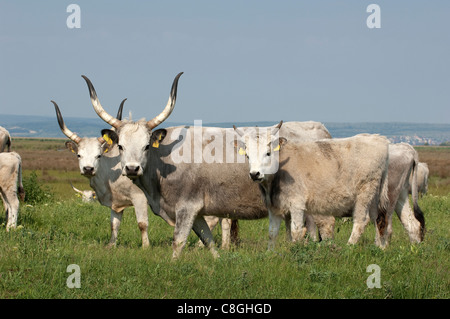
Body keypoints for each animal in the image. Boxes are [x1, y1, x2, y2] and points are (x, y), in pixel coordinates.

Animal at [232, 122, 390, 250]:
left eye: (268, 153)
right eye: (247, 155)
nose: (255, 174)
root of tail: (379, 139)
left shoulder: (297, 205)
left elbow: (296, 232)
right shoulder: (274, 207)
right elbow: (273, 233)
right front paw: (270, 254)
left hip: (364, 193)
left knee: (361, 220)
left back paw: (349, 246)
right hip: (375, 196)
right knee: (378, 218)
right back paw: (380, 247)